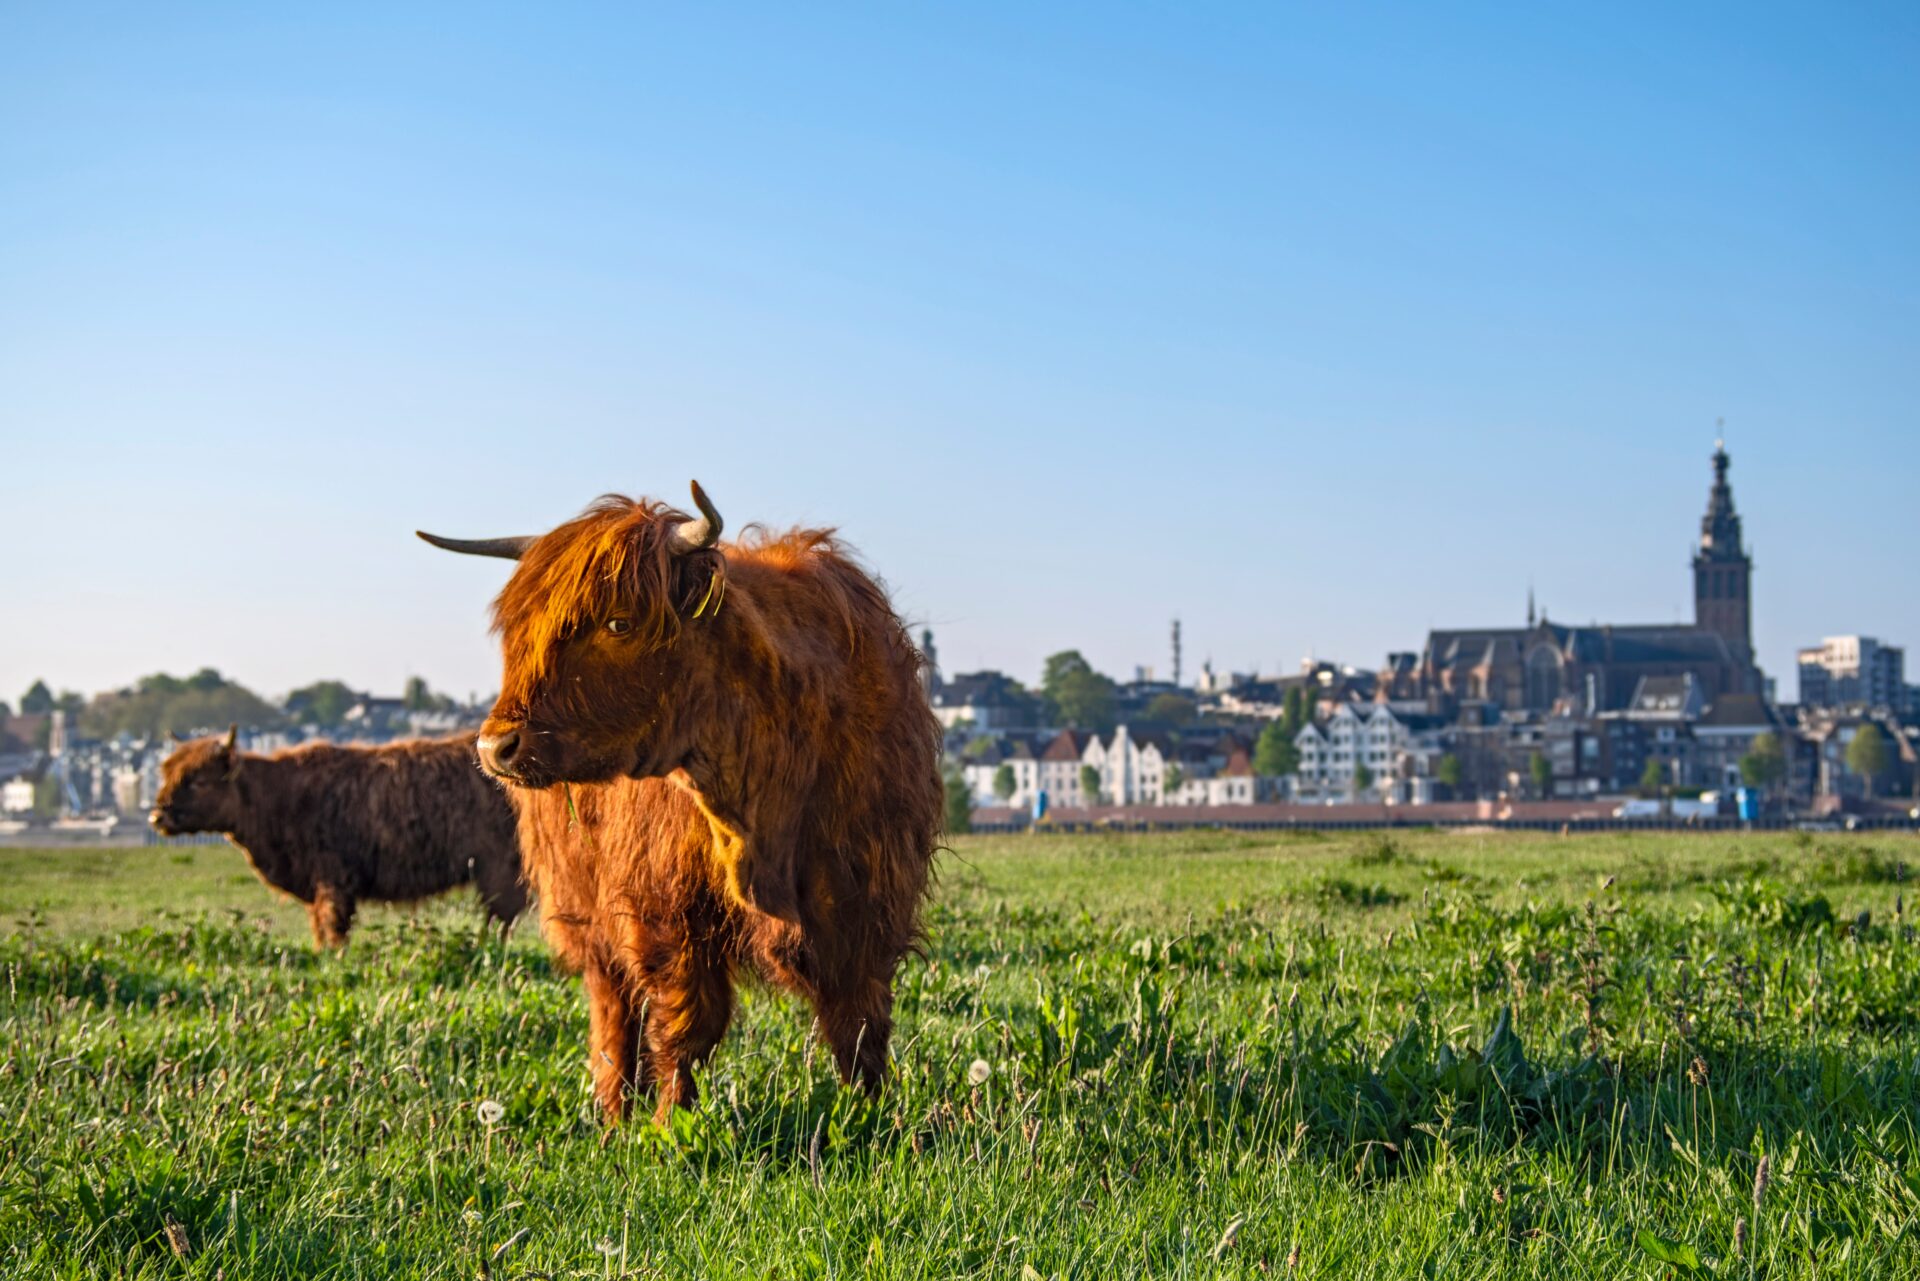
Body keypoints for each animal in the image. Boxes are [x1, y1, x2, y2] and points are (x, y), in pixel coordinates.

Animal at [151, 725, 526, 948]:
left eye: (198, 781)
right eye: (166, 774)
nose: (157, 816)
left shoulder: (333, 882)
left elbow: (333, 930)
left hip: (499, 867)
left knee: (500, 918)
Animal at [420, 480, 944, 1121]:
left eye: (619, 623)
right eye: (522, 634)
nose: (495, 746)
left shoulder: (867, 897)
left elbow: (859, 1023)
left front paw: (868, 1115)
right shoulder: (666, 908)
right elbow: (686, 1023)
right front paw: (673, 1122)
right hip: (588, 909)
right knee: (614, 1011)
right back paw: (615, 1114)